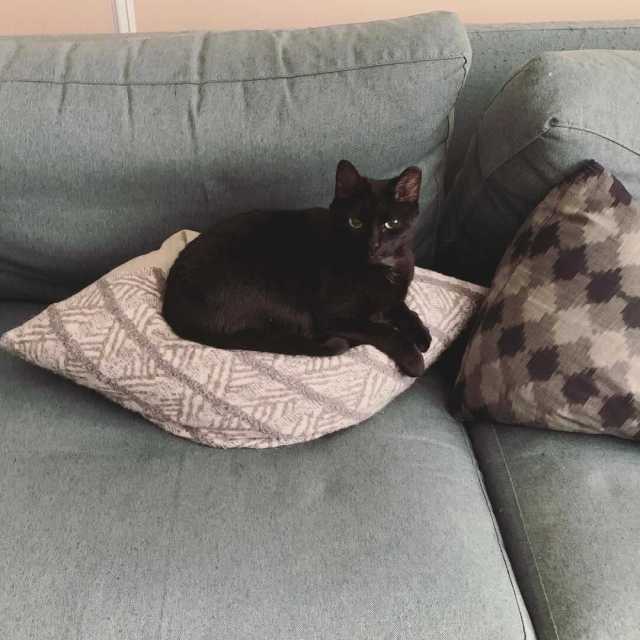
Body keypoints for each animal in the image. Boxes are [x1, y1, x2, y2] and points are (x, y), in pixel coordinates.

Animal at [161, 160, 430, 378]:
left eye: (391, 223)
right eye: (355, 223)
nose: (373, 244)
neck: (382, 269)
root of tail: (172, 306)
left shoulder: (392, 296)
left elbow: (403, 308)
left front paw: (422, 335)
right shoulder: (333, 316)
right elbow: (384, 331)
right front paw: (414, 359)